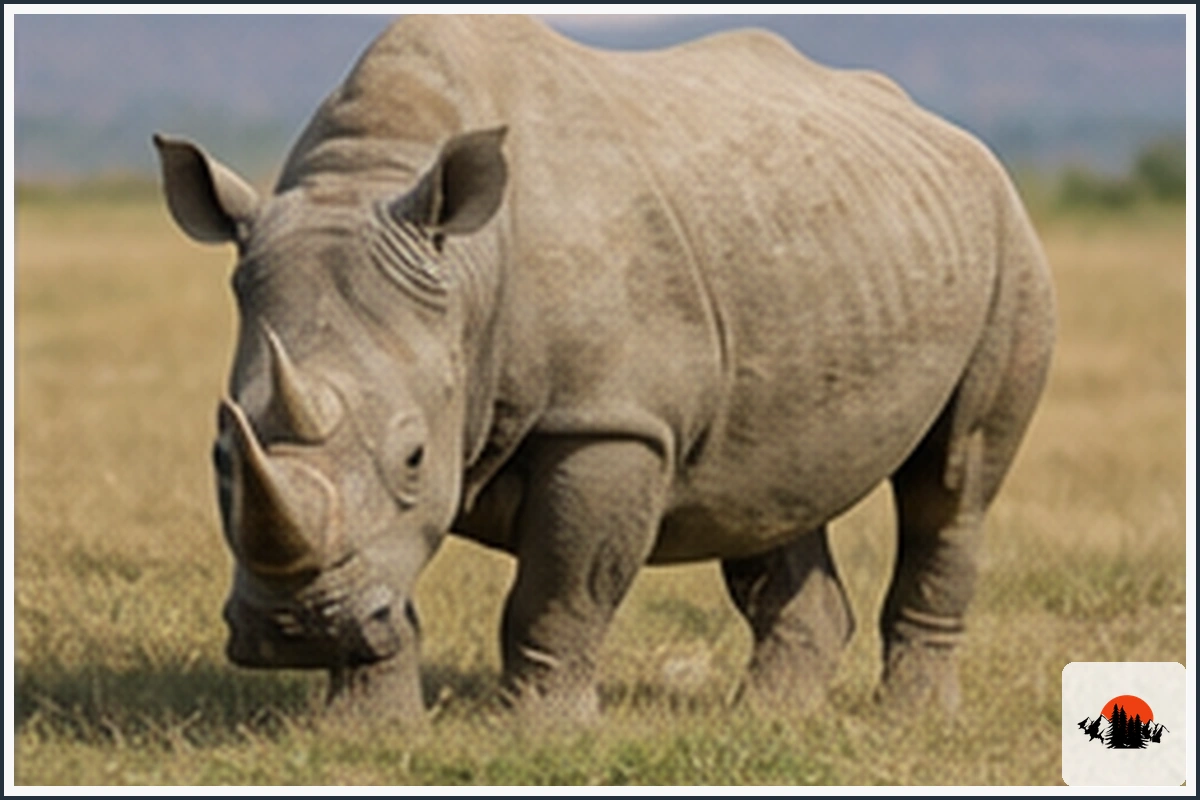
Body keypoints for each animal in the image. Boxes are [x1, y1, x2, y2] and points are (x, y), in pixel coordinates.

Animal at [154, 15, 1054, 724]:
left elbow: (562, 586)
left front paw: (541, 734)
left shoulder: (609, 419)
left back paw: (914, 719)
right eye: (222, 454)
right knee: (768, 488)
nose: (292, 630)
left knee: (953, 481)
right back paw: (770, 721)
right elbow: (389, 570)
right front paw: (366, 732)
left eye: (413, 456)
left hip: (1009, 240)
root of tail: (949, 133)